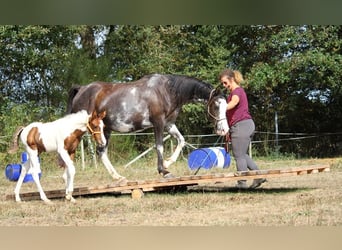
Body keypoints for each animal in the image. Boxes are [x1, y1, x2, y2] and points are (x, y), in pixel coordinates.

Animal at [66, 73, 228, 181]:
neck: (167, 91)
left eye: (226, 105)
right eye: (216, 105)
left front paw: (168, 162)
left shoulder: (169, 124)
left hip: (104, 129)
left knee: (101, 151)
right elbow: (159, 146)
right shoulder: (158, 123)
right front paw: (164, 171)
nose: (223, 130)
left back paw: (117, 176)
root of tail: (81, 89)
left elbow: (181, 140)